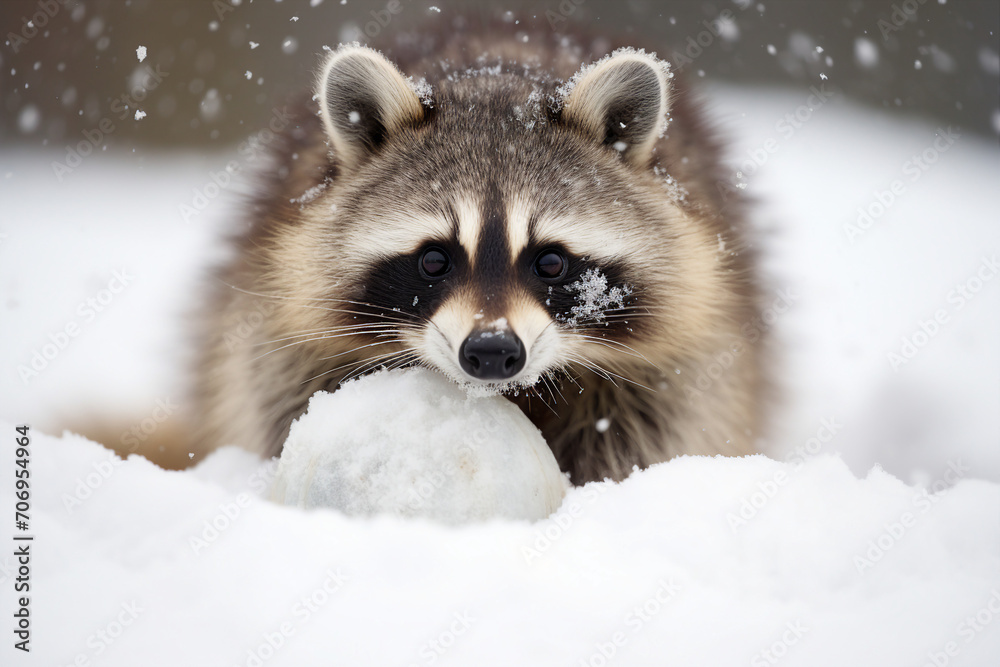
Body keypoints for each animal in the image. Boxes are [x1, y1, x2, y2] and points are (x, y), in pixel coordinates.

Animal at [193, 23, 764, 482]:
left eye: (550, 262)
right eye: (434, 260)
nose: (491, 351)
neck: (496, 71)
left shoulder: (677, 354)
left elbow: (650, 425)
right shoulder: (288, 331)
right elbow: (284, 392)